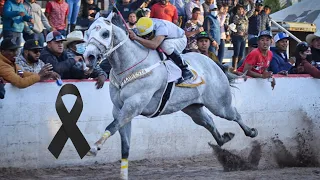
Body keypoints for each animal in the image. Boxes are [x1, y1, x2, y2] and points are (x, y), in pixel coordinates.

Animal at [82, 13, 258, 179]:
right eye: (87, 33)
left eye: (105, 33)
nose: (88, 57)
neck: (131, 65)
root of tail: (214, 63)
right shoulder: (119, 109)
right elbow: (125, 146)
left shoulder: (133, 105)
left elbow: (112, 126)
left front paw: (94, 147)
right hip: (193, 108)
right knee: (209, 122)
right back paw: (224, 138)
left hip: (220, 104)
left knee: (235, 114)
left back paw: (251, 132)